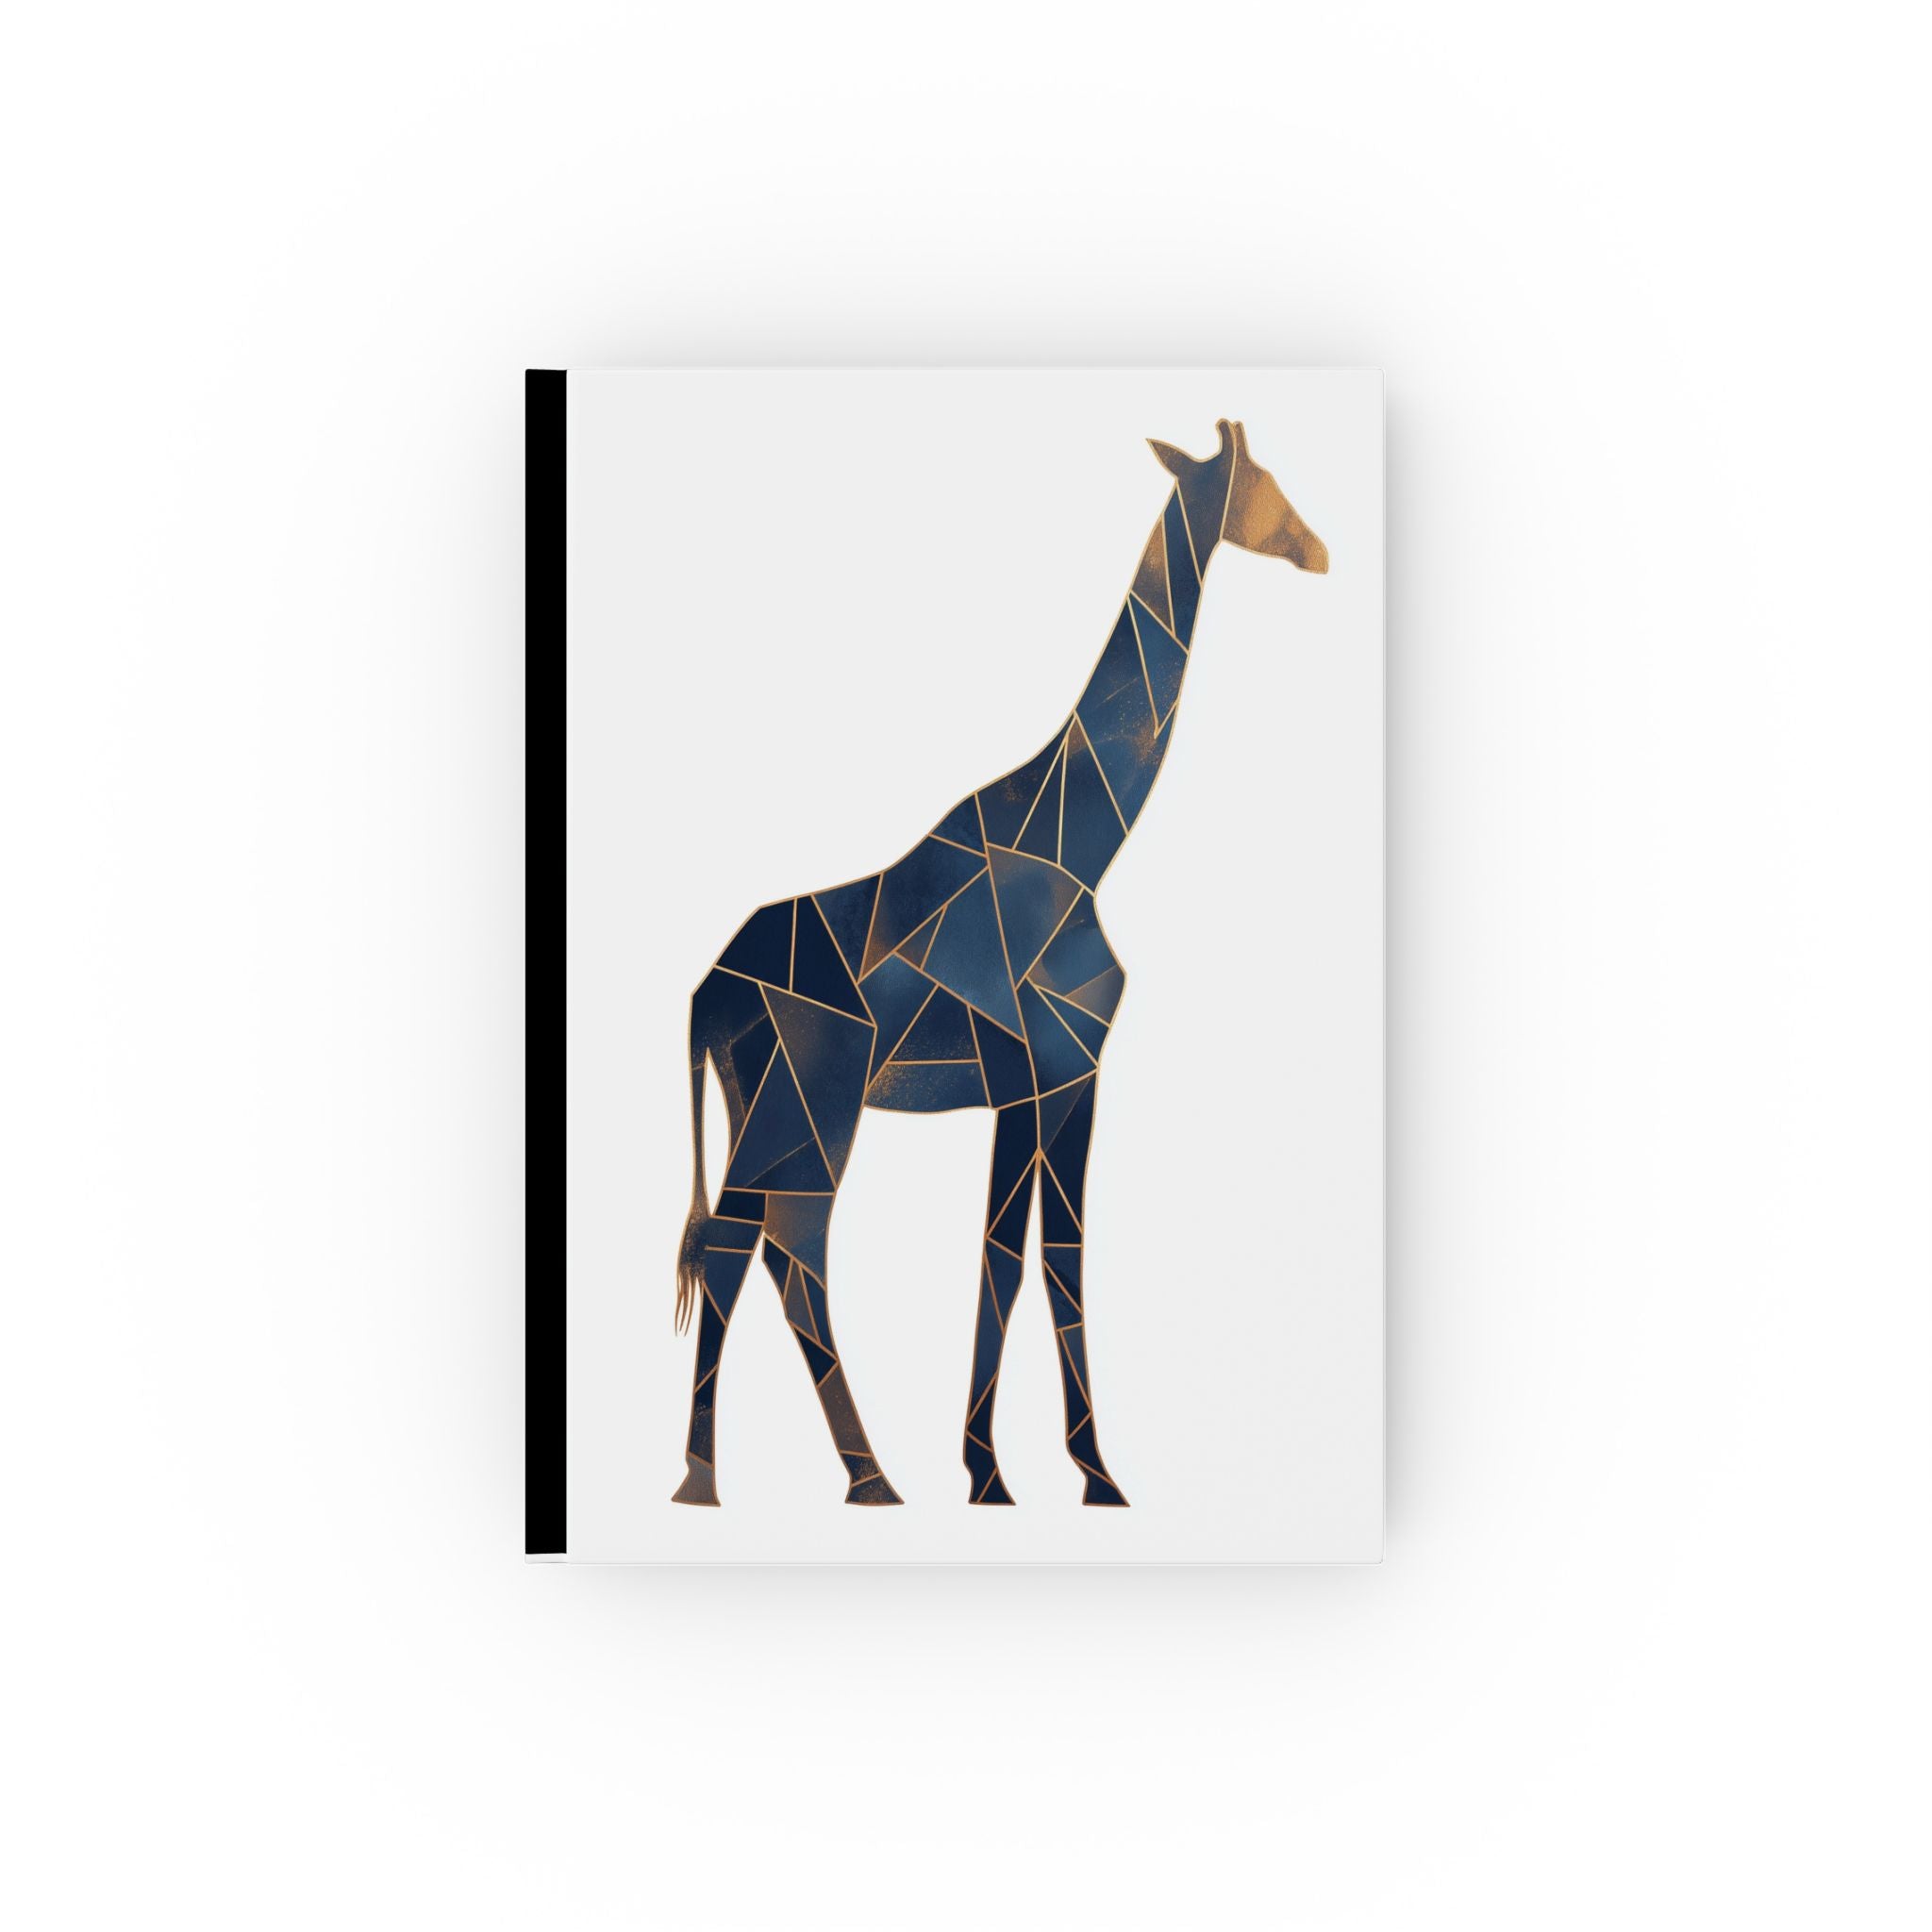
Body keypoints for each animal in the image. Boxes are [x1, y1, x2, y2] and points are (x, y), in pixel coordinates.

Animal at [670, 418, 1328, 1507]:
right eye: (1263, 481)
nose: (1318, 551)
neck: (1085, 842)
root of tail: (707, 993)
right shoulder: (1050, 1069)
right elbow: (1029, 1259)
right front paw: (1040, 1475)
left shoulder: (1048, 1081)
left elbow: (1028, 1258)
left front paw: (1042, 1471)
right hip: (814, 1097)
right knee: (775, 1245)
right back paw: (764, 1480)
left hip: (759, 1099)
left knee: (757, 1246)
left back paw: (811, 1475)